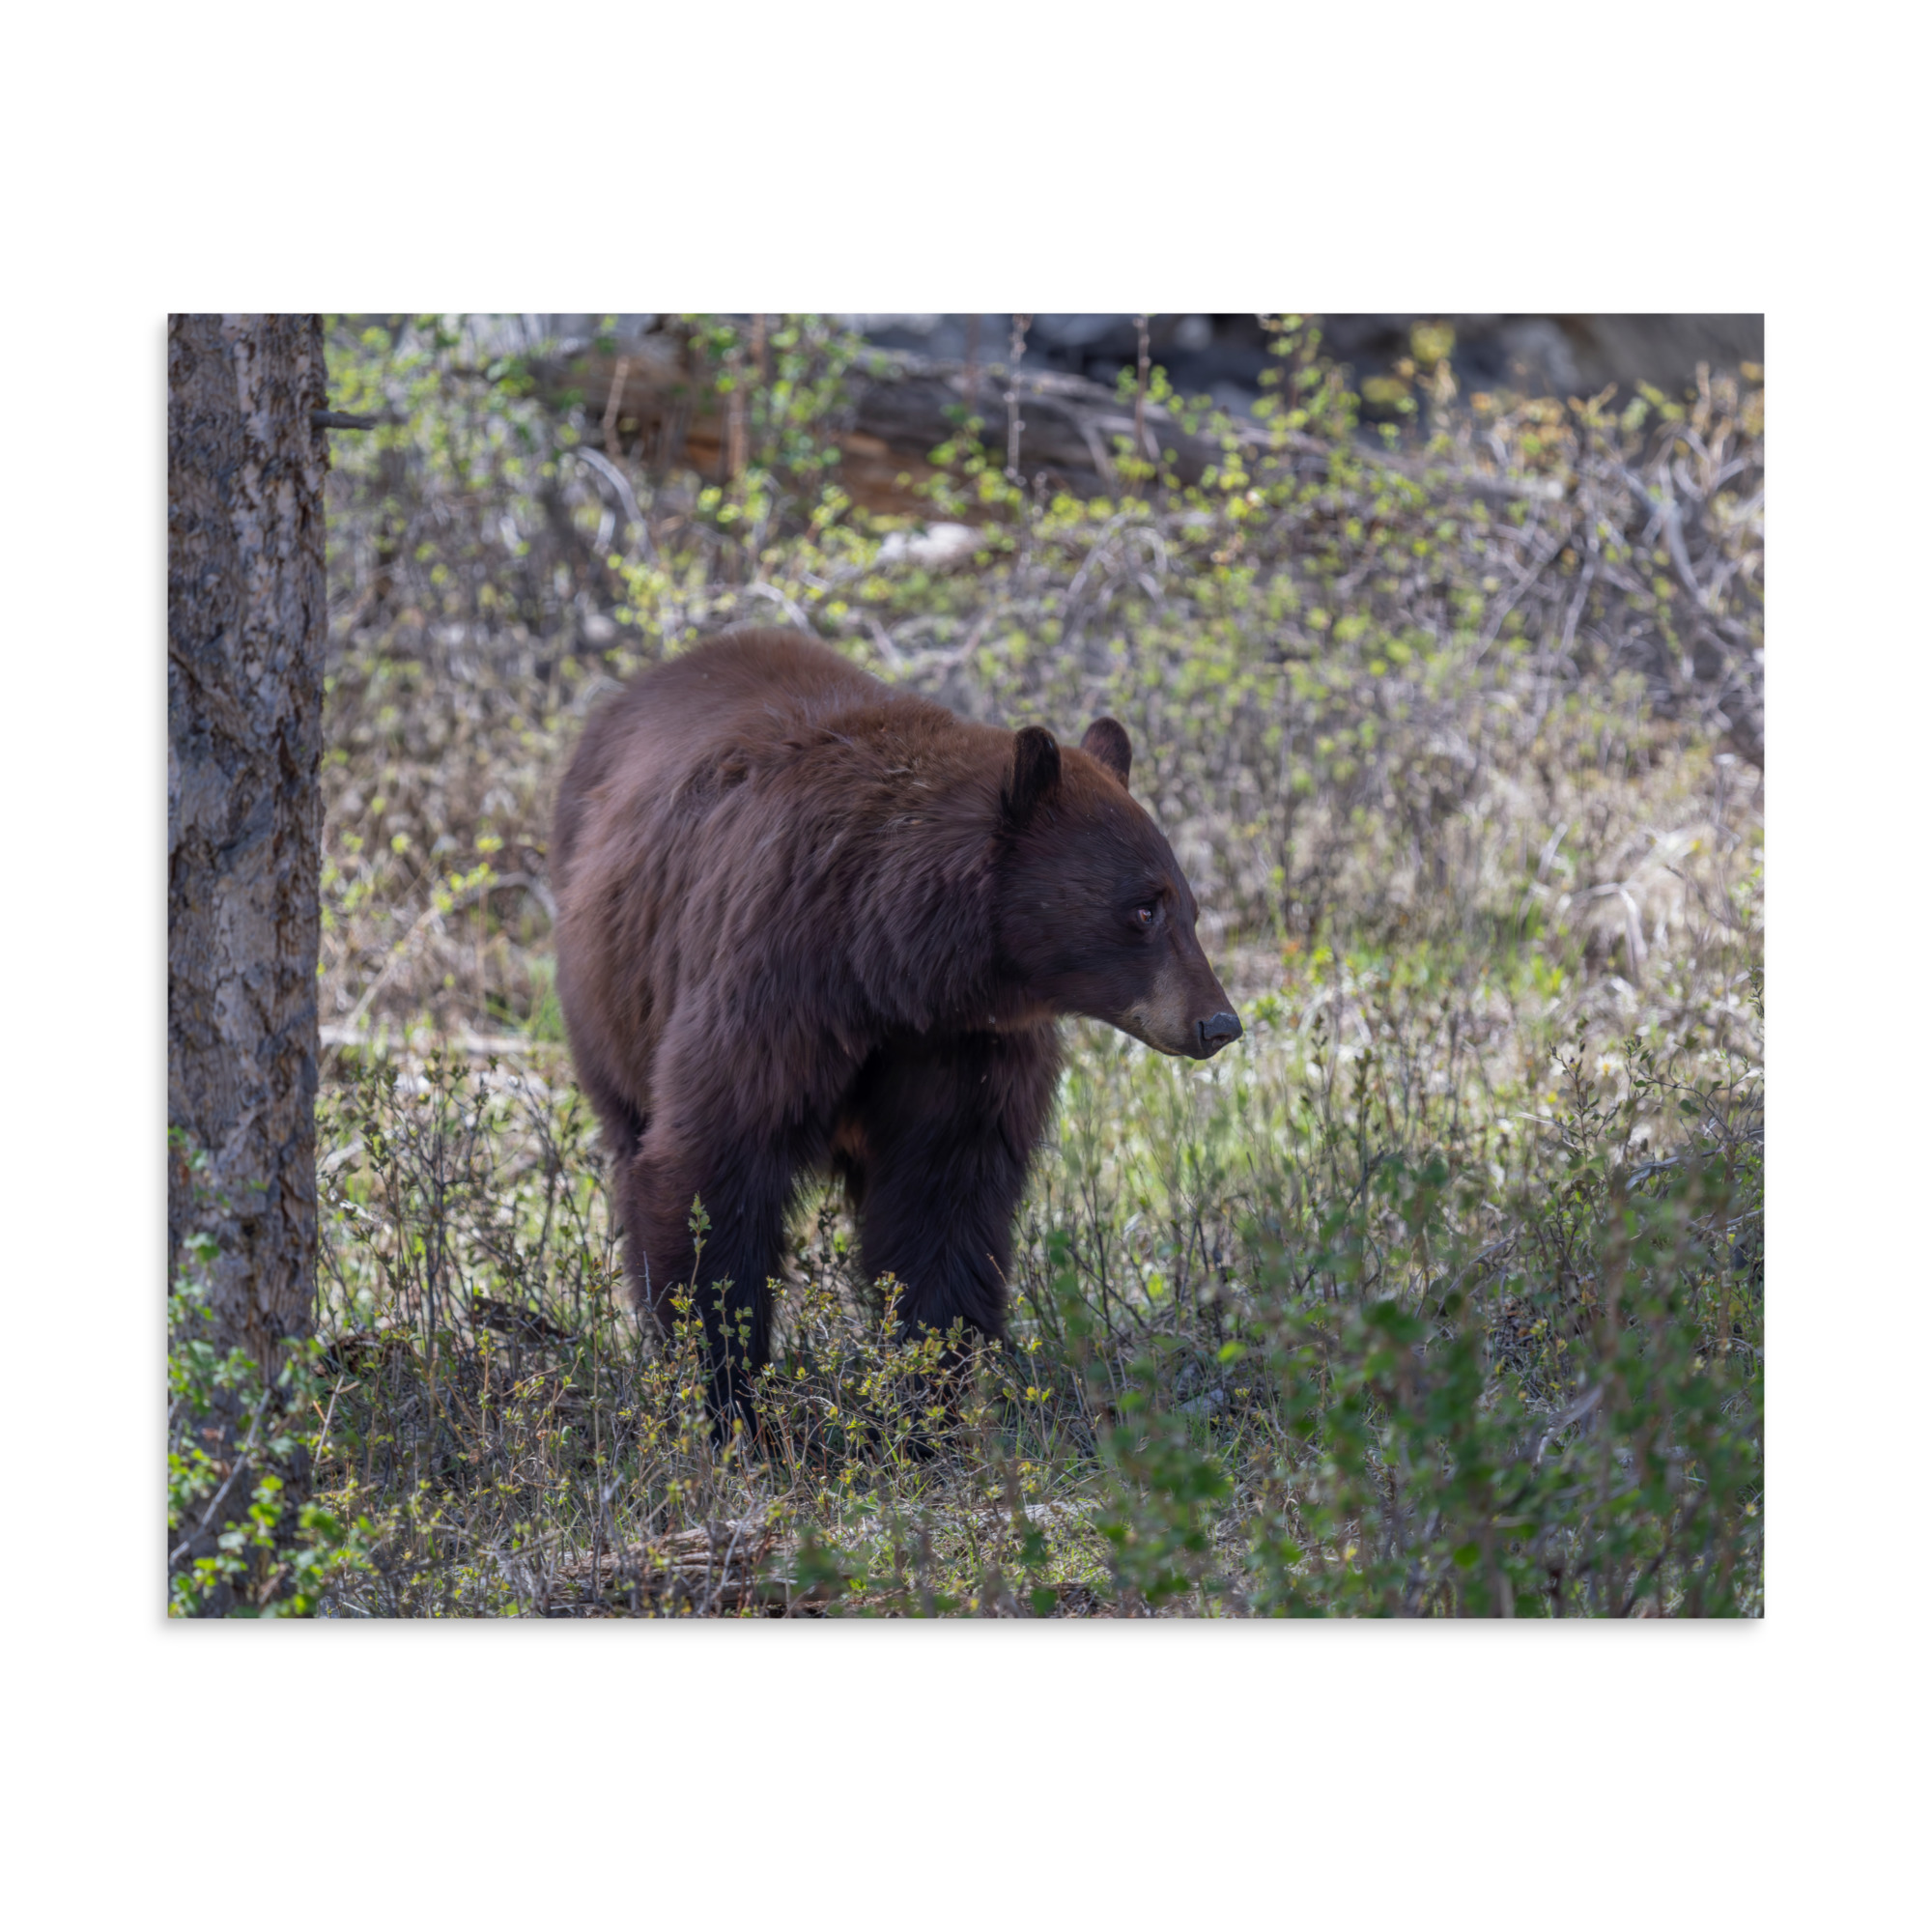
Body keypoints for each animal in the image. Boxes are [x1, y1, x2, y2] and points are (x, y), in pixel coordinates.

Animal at [550, 626, 1240, 1425]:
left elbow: (944, 1203)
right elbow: (713, 1169)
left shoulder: (963, 1046)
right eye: (1143, 908)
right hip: (609, 999)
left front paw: (928, 1404)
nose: (1218, 1023)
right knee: (632, 1143)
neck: (891, 963)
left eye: (1189, 907)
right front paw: (728, 1399)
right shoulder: (772, 983)